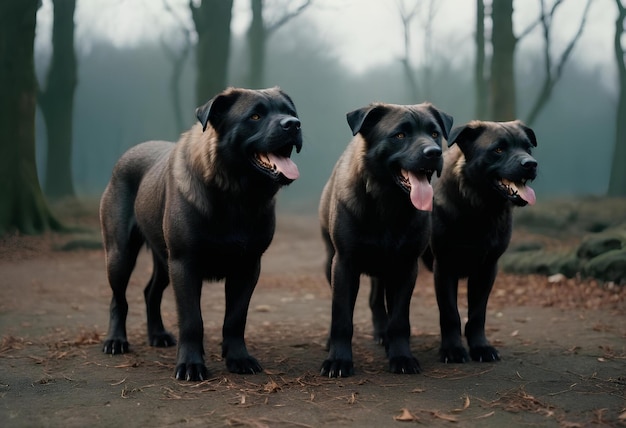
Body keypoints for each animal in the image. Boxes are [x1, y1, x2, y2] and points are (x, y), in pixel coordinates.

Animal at [98, 87, 302, 382]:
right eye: (255, 116)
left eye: (290, 112)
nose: (294, 124)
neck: (237, 195)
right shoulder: (185, 263)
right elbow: (192, 320)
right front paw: (190, 365)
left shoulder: (248, 266)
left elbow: (235, 318)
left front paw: (239, 358)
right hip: (120, 254)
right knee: (119, 299)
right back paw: (115, 341)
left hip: (163, 260)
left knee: (151, 293)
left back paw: (158, 335)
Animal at [320, 102, 450, 376]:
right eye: (400, 135)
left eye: (435, 134)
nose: (434, 152)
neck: (388, 205)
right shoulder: (344, 264)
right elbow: (341, 317)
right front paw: (339, 360)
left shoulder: (405, 266)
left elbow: (399, 319)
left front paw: (401, 357)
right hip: (331, 261)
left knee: (377, 302)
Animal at [428, 119, 536, 364]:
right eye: (499, 149)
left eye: (528, 148)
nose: (531, 164)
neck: (479, 209)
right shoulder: (444, 266)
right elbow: (450, 313)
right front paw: (452, 349)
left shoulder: (487, 268)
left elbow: (477, 314)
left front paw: (480, 347)